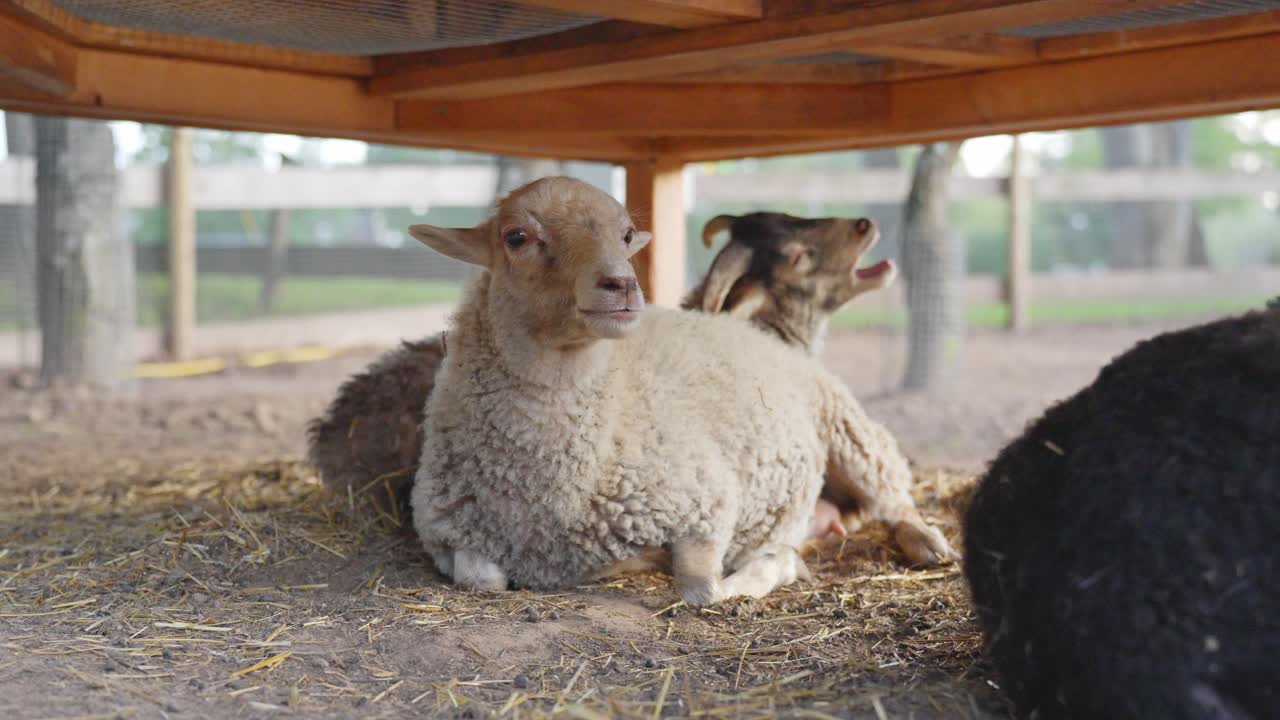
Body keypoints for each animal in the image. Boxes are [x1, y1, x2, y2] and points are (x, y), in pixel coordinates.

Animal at [408, 176, 954, 604]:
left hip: (852, 435)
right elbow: (481, 582)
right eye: (517, 237)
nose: (623, 285)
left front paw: (770, 567)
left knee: (895, 499)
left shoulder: (706, 505)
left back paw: (924, 543)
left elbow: (705, 590)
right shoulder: (447, 531)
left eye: (627, 235)